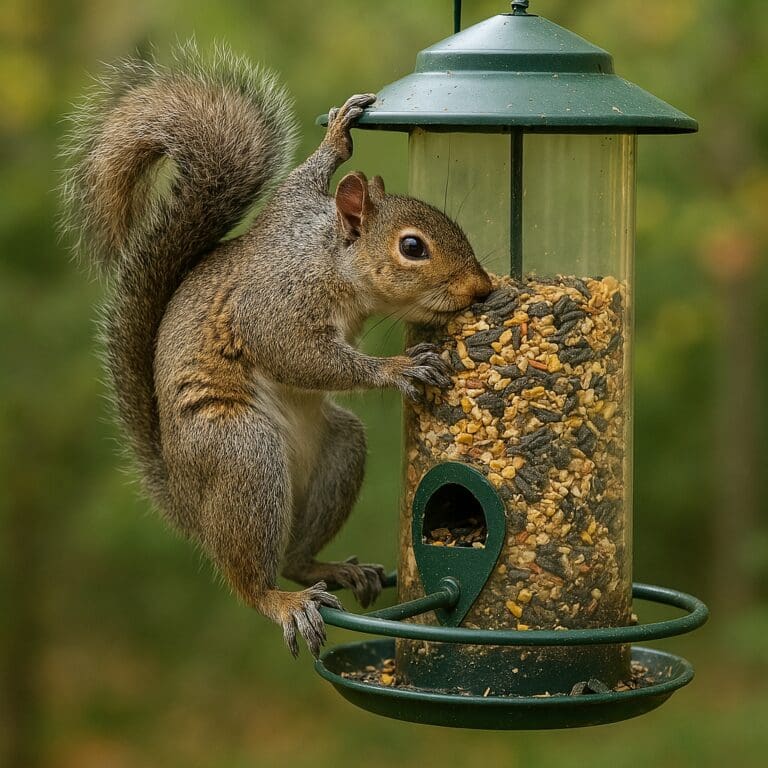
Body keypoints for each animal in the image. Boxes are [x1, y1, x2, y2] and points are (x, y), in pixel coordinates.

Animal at [60, 43, 492, 657]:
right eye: (412, 247)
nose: (482, 287)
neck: (328, 257)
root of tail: (187, 506)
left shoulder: (293, 208)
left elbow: (298, 181)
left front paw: (338, 134)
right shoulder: (273, 303)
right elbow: (295, 354)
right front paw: (397, 367)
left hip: (339, 449)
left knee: (293, 558)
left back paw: (330, 570)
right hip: (244, 454)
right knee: (251, 581)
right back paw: (283, 603)